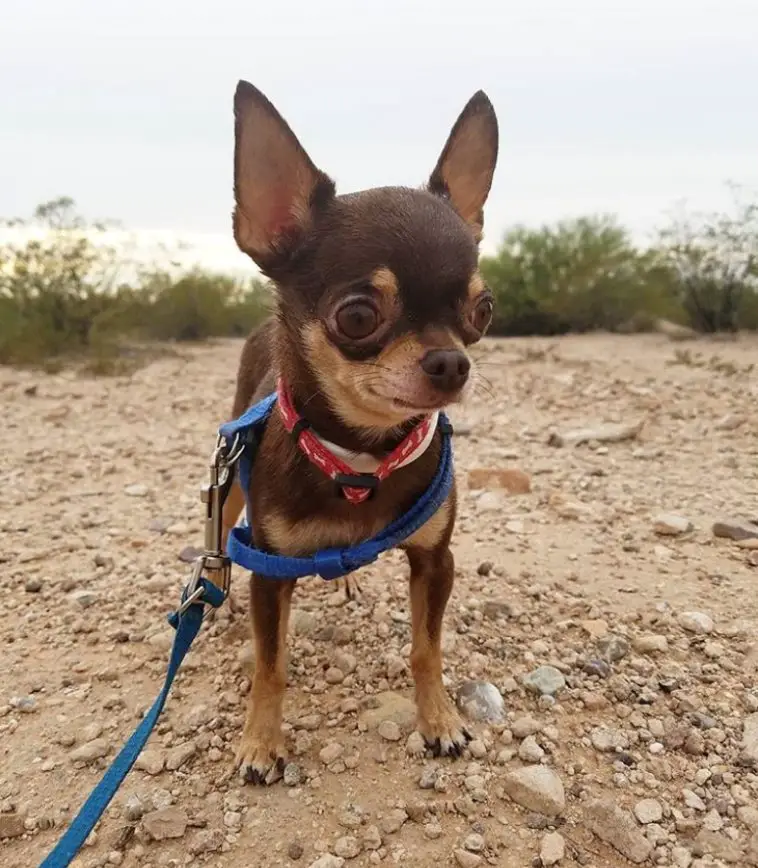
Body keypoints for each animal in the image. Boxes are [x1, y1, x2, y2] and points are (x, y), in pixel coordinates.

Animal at [220, 83, 502, 788]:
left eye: (483, 310)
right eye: (356, 316)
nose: (452, 362)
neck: (361, 460)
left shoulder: (435, 560)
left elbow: (427, 649)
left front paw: (439, 720)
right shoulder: (269, 571)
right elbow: (270, 667)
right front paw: (260, 743)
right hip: (231, 485)